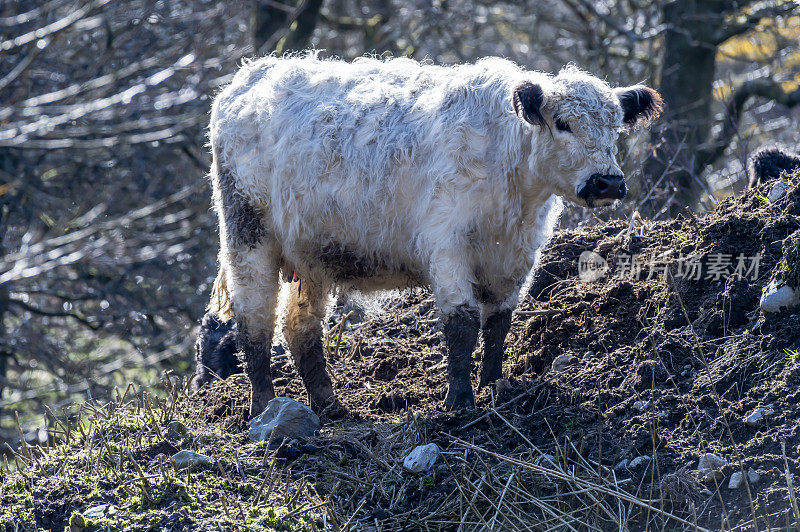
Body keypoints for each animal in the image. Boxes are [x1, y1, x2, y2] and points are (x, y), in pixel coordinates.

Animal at [206, 55, 664, 420]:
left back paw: (328, 405)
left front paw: (494, 387)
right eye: (563, 124)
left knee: (300, 326)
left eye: (616, 128)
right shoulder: (448, 247)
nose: (607, 182)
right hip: (247, 237)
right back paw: (263, 406)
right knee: (254, 322)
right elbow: (461, 323)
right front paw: (459, 403)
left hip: (311, 256)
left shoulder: (517, 258)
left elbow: (497, 323)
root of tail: (251, 75)